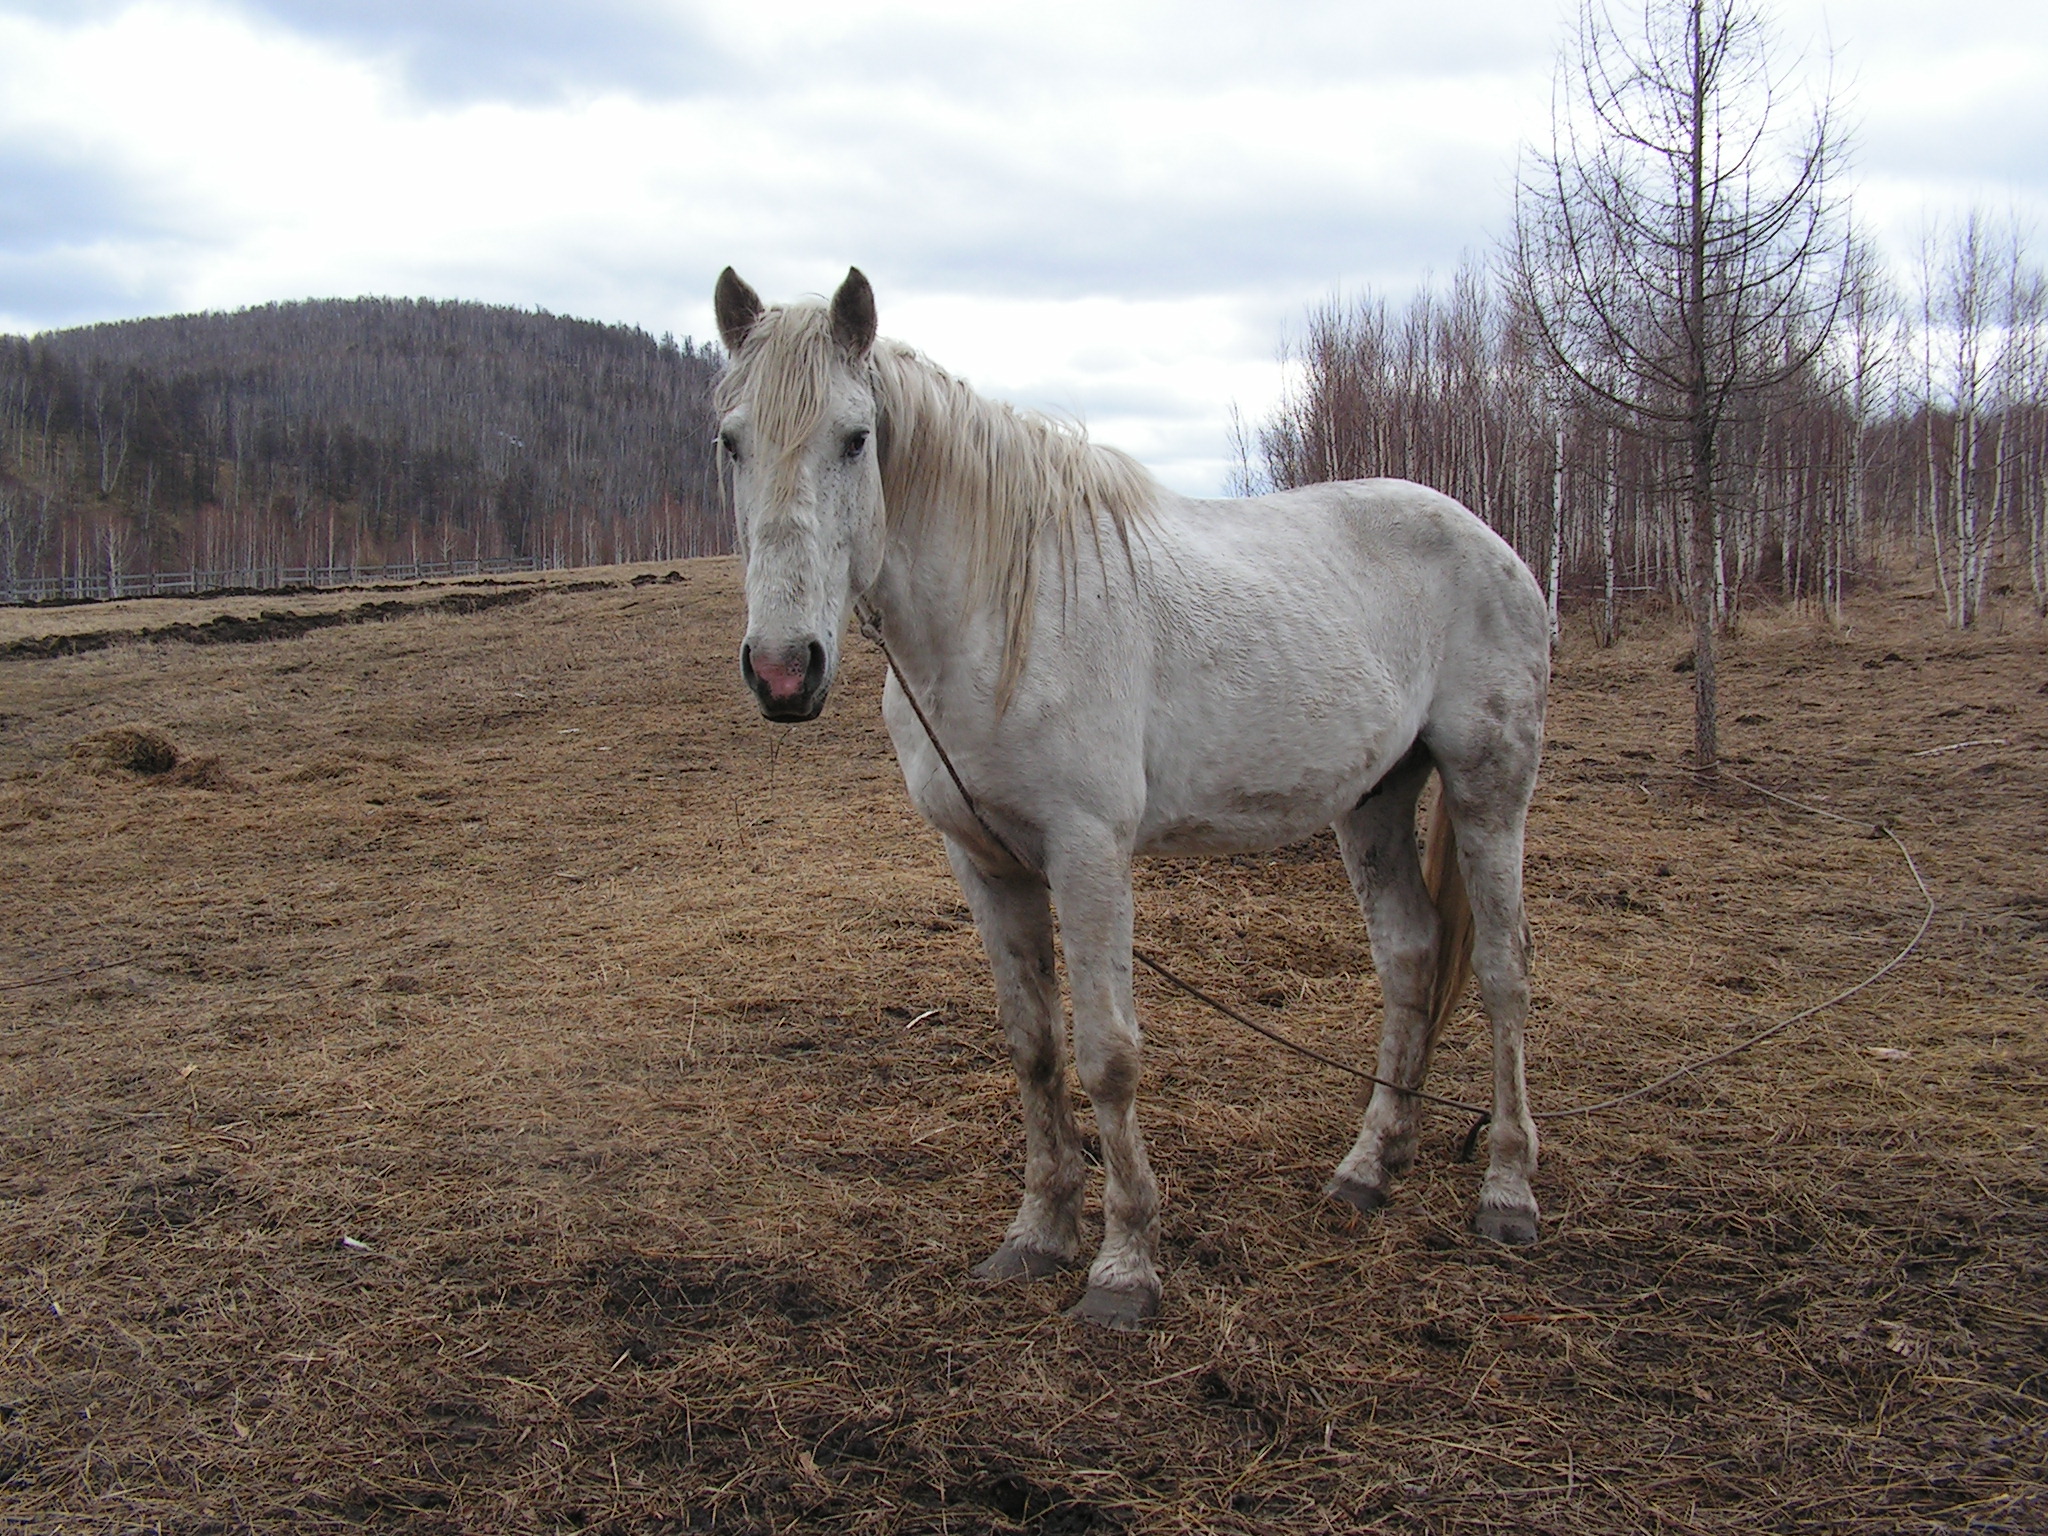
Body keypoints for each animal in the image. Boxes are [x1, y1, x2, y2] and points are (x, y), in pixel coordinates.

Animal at [712, 270, 1540, 1327]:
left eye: (855, 438)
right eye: (731, 441)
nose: (784, 672)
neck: (1002, 616)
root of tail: (1487, 538)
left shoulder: (1088, 854)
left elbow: (1107, 1054)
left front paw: (1123, 1268)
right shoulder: (985, 864)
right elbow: (1032, 1045)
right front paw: (1037, 1234)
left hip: (1488, 788)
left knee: (1502, 973)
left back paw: (1507, 1190)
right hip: (1375, 802)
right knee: (1410, 955)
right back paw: (1368, 1169)